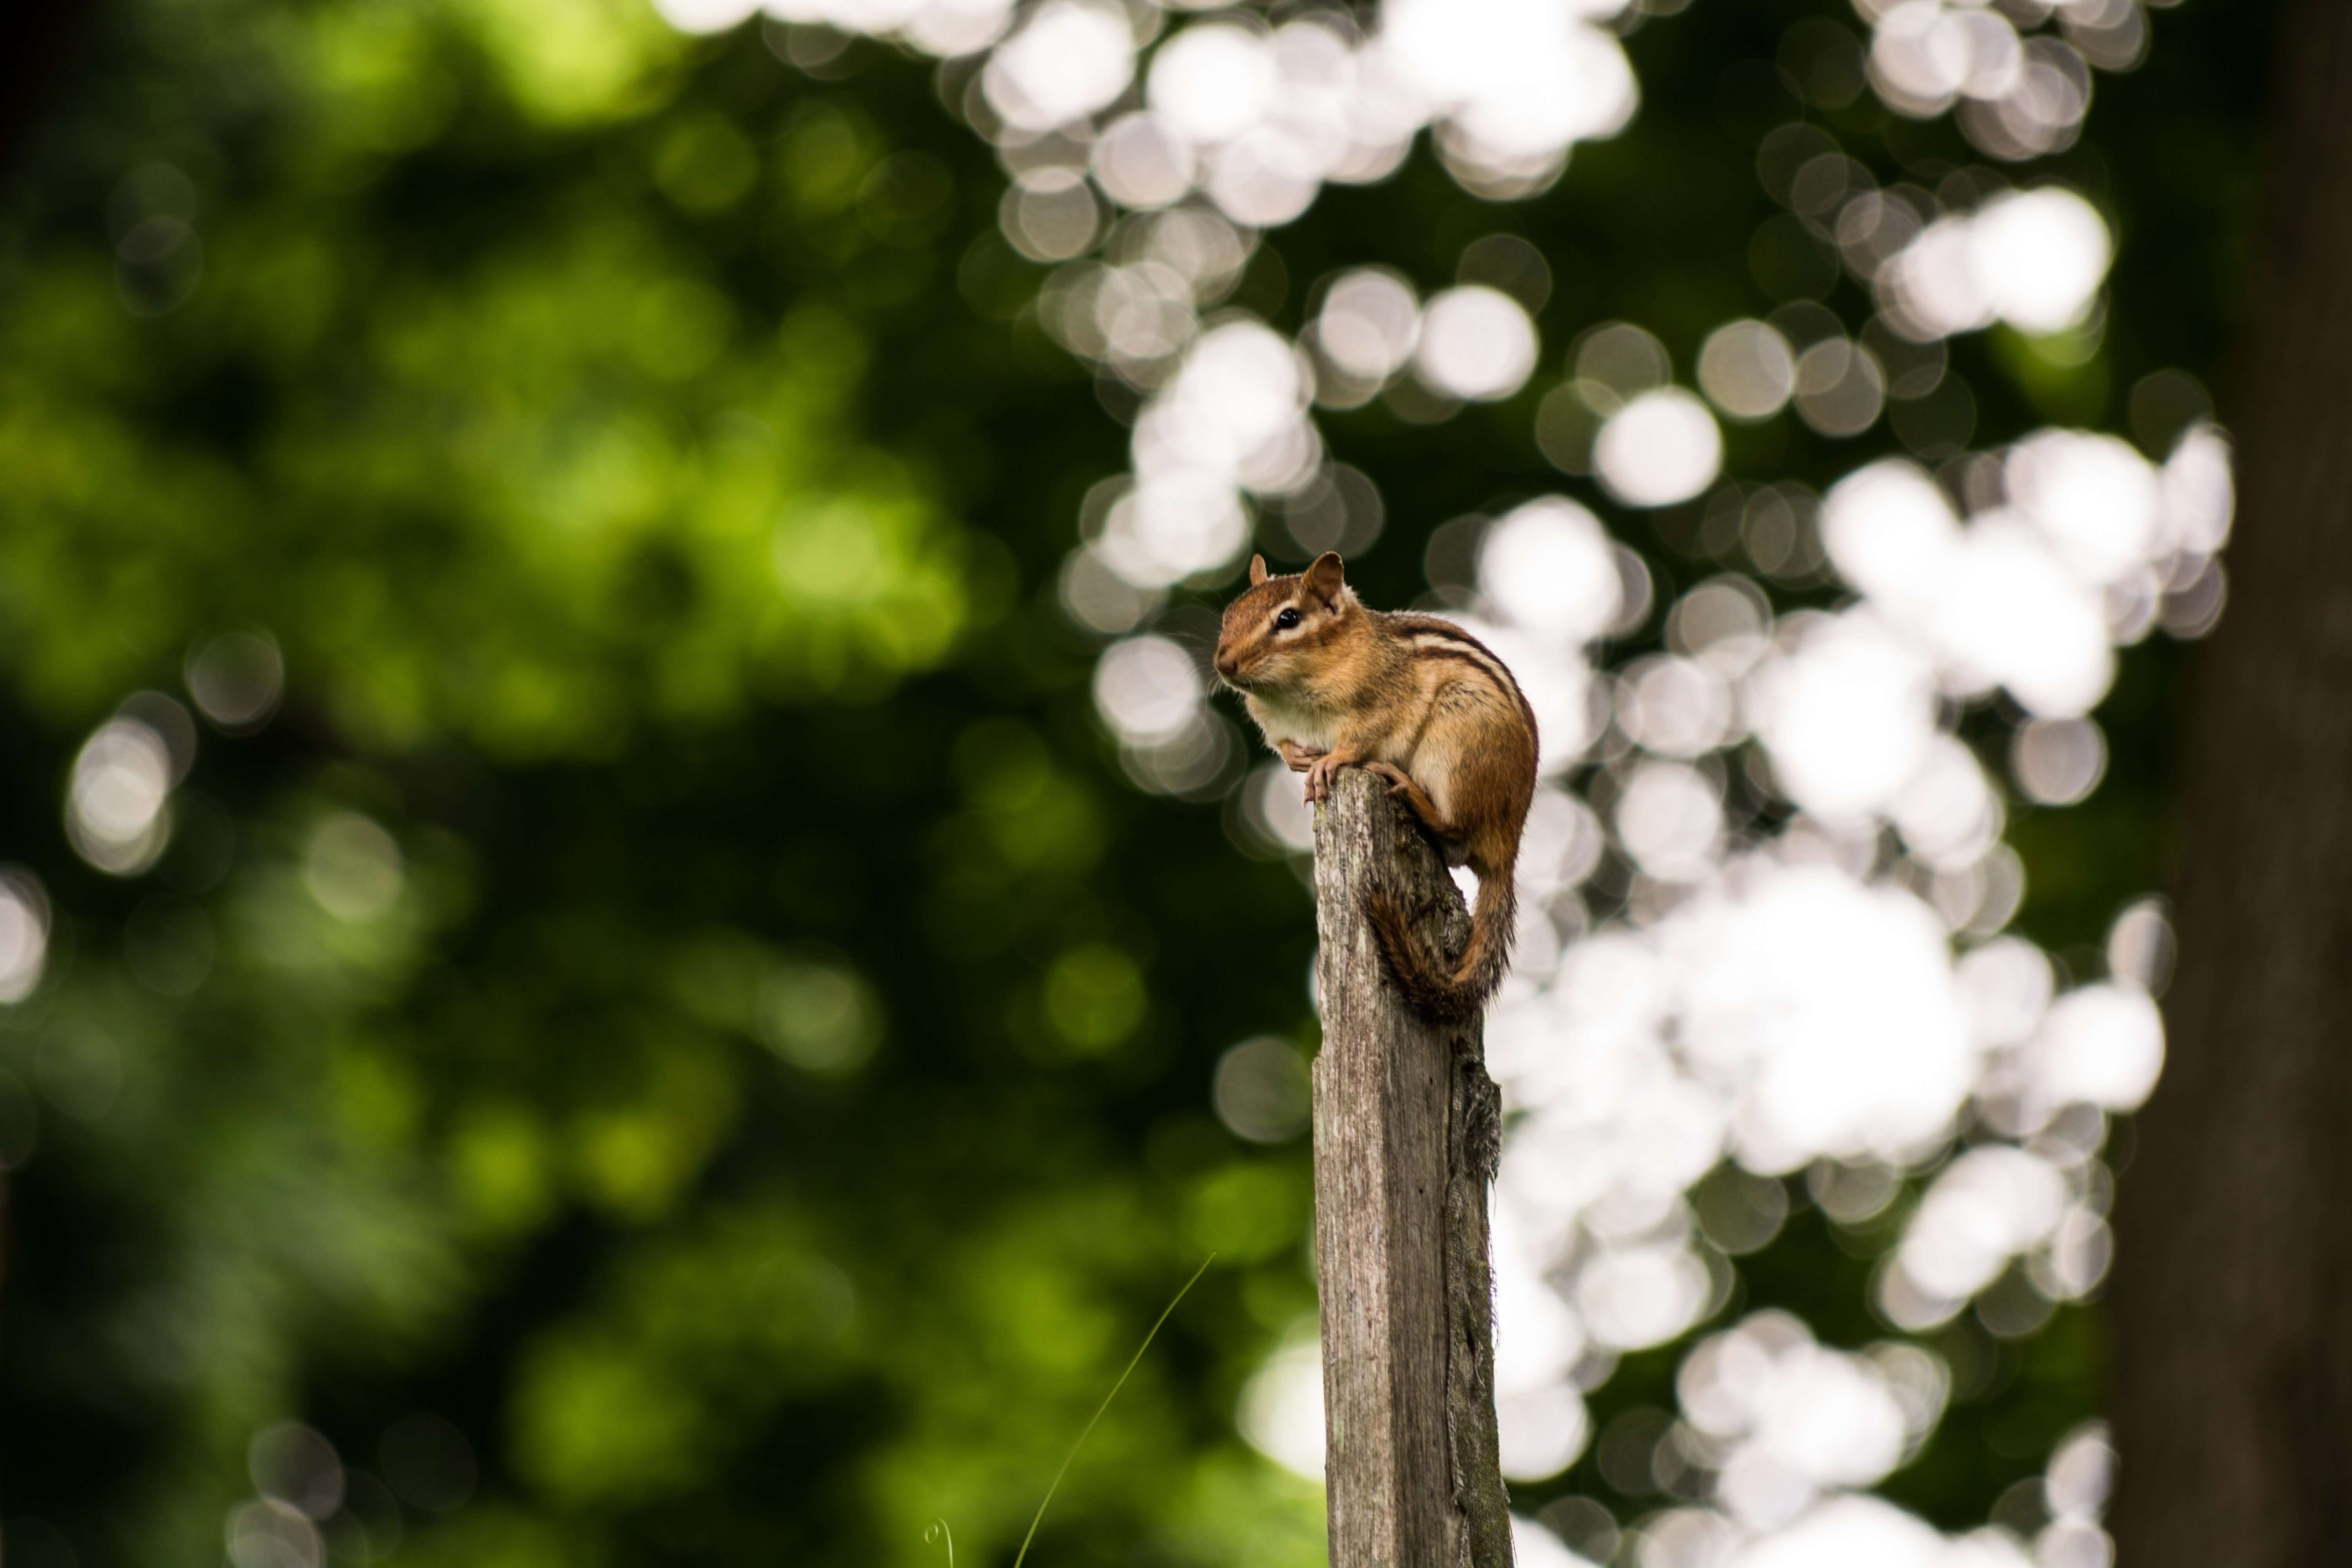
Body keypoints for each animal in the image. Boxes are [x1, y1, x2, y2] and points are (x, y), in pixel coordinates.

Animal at [1215, 550, 1538, 1021]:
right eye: (1229, 615)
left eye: (1288, 619)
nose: (1224, 664)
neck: (1292, 695)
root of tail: (1509, 846)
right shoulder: (1273, 723)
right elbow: (1285, 745)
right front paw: (1299, 759)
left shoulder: (1383, 702)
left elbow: (1358, 739)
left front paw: (1328, 763)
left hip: (1456, 743)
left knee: (1455, 829)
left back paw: (1410, 790)